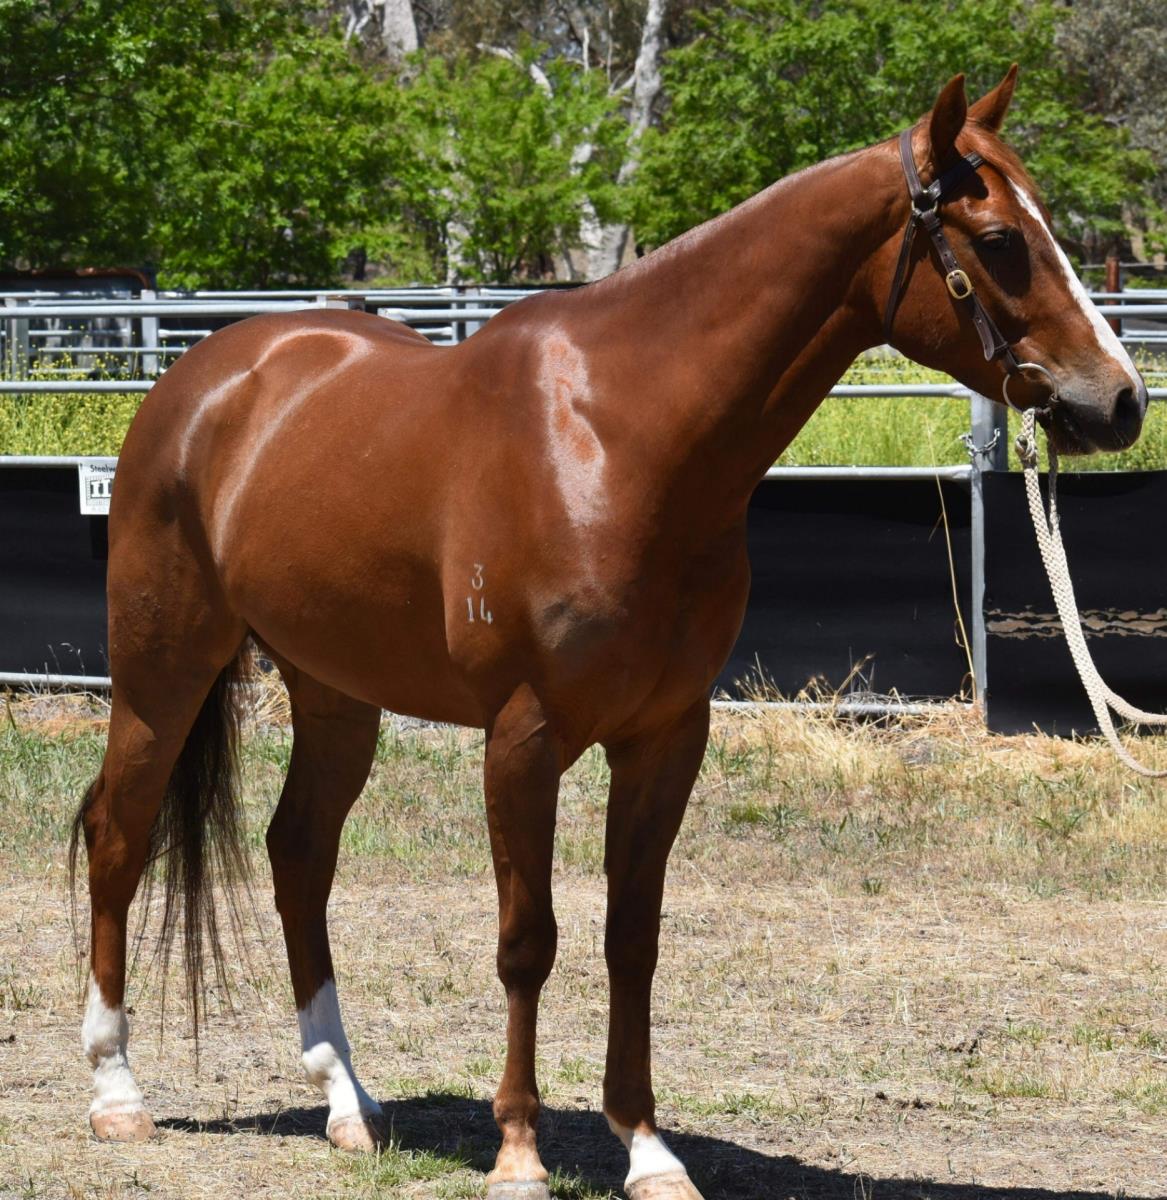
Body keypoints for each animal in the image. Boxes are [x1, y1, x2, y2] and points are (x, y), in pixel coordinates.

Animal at [70, 67, 1147, 1200]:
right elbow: (527, 940)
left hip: (335, 693)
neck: (621, 439)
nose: (1121, 401)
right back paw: (117, 1093)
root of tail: (205, 381)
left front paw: (648, 1150)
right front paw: (518, 1153)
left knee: (298, 856)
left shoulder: (666, 737)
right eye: (998, 238)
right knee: (119, 835)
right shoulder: (524, 737)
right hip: (162, 670)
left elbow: (632, 938)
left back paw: (348, 1103)